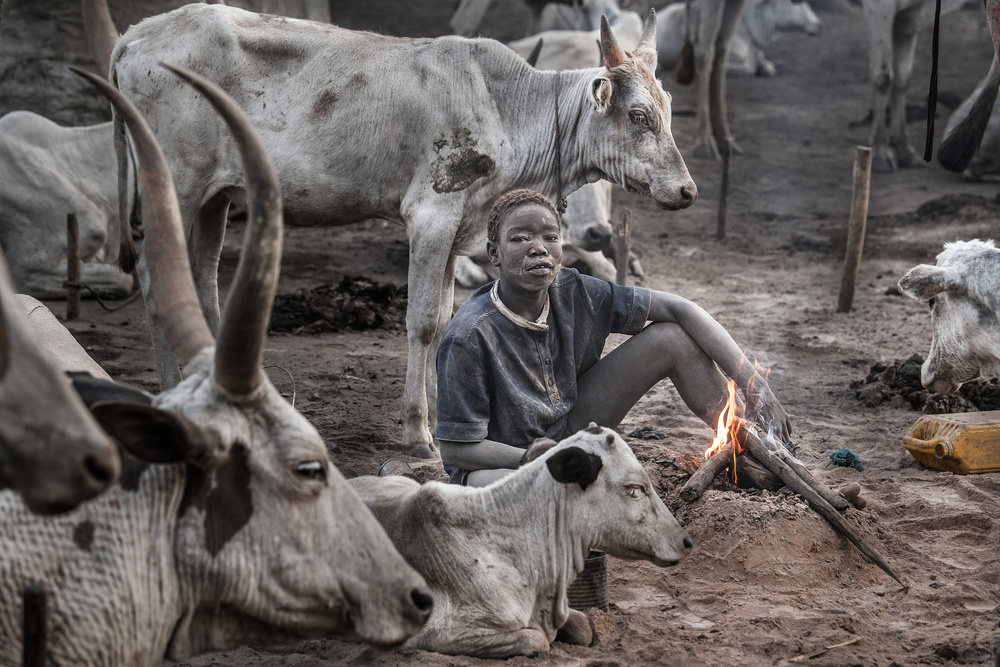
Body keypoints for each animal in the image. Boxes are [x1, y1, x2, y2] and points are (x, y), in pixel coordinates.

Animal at [108, 4, 697, 457]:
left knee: (203, 280)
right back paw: (172, 393)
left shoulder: (460, 229)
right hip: (176, 184)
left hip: (216, 197)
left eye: (667, 110)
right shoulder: (431, 217)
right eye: (638, 115)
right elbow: (421, 323)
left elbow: (443, 318)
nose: (687, 190)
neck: (508, 107)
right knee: (158, 279)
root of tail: (137, 33)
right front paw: (418, 433)